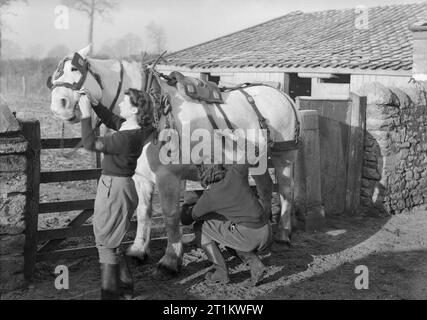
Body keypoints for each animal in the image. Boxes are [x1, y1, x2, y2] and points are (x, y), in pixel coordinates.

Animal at [47, 44, 300, 278]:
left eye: (74, 69)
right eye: (55, 75)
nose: (58, 106)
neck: (153, 113)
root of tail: (284, 96)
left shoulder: (168, 177)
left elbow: (171, 216)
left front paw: (170, 259)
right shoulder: (143, 177)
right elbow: (143, 212)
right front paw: (139, 250)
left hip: (284, 157)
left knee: (286, 191)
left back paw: (283, 235)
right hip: (258, 160)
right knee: (265, 188)